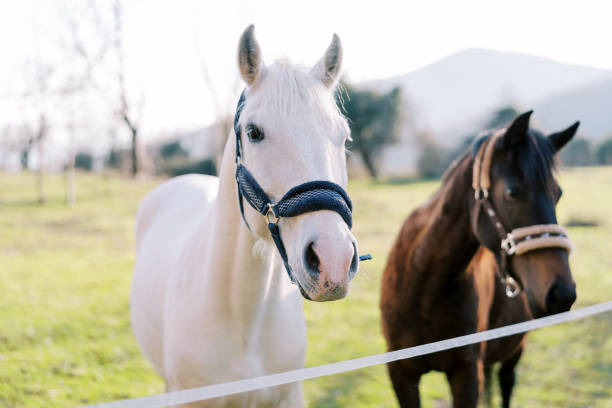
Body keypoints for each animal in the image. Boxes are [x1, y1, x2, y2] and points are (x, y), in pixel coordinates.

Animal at [382, 110, 580, 406]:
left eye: (558, 194)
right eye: (512, 191)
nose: (561, 292)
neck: (426, 287)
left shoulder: (466, 375)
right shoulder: (402, 376)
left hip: (515, 349)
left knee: (506, 383)